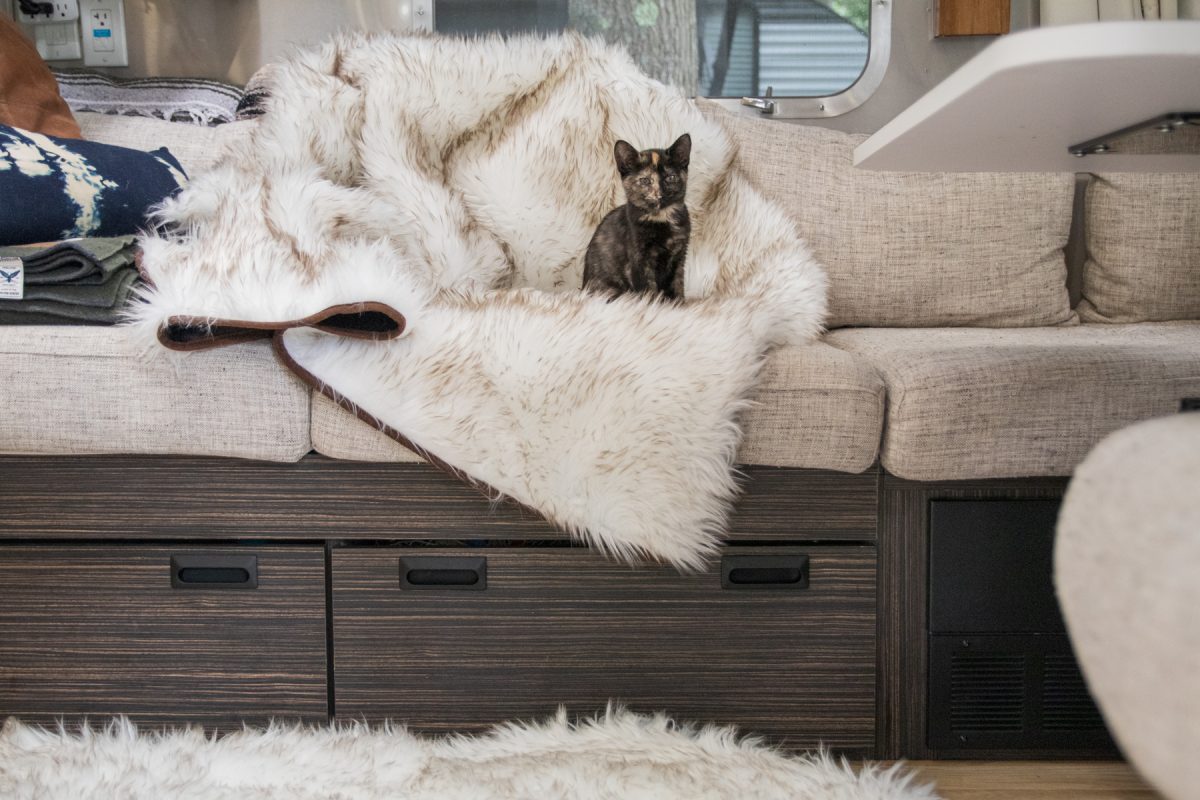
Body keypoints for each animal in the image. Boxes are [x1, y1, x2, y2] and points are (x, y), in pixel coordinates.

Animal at [583, 134, 691, 303]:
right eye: (645, 181)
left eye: (670, 178)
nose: (659, 194)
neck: (662, 218)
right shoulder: (639, 261)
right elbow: (649, 288)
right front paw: (655, 305)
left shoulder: (679, 257)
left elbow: (677, 284)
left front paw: (679, 304)